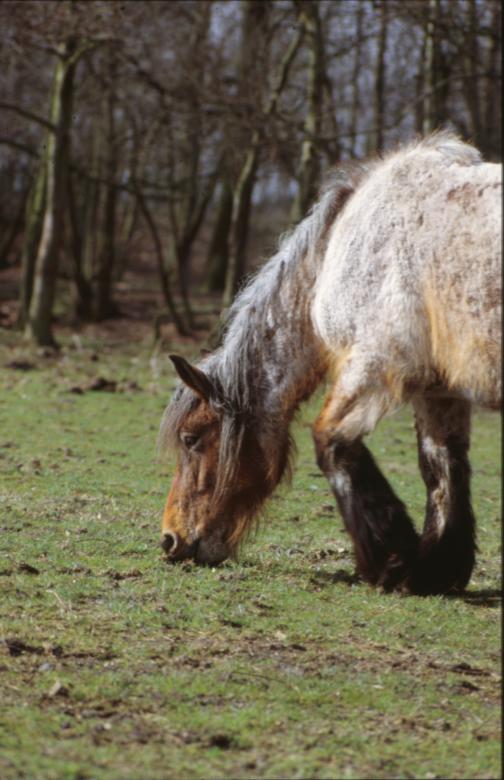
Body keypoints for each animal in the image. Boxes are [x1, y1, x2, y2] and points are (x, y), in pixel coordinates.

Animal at [158, 131, 501, 595]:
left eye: (191, 439)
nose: (169, 539)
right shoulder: (438, 388)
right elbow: (441, 466)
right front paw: (436, 571)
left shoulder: (376, 362)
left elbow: (332, 443)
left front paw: (390, 561)